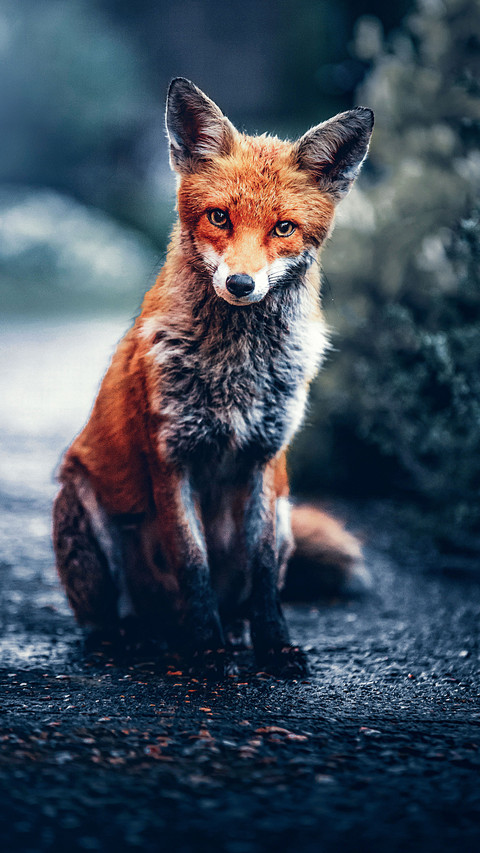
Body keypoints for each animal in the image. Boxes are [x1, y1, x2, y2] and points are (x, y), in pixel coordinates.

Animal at [53, 78, 373, 677]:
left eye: (283, 227)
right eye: (220, 217)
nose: (242, 284)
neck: (236, 371)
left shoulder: (267, 461)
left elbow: (264, 573)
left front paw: (274, 646)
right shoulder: (171, 457)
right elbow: (193, 564)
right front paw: (207, 652)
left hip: (288, 514)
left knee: (243, 595)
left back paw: (233, 633)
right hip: (82, 505)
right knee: (106, 620)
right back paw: (135, 639)